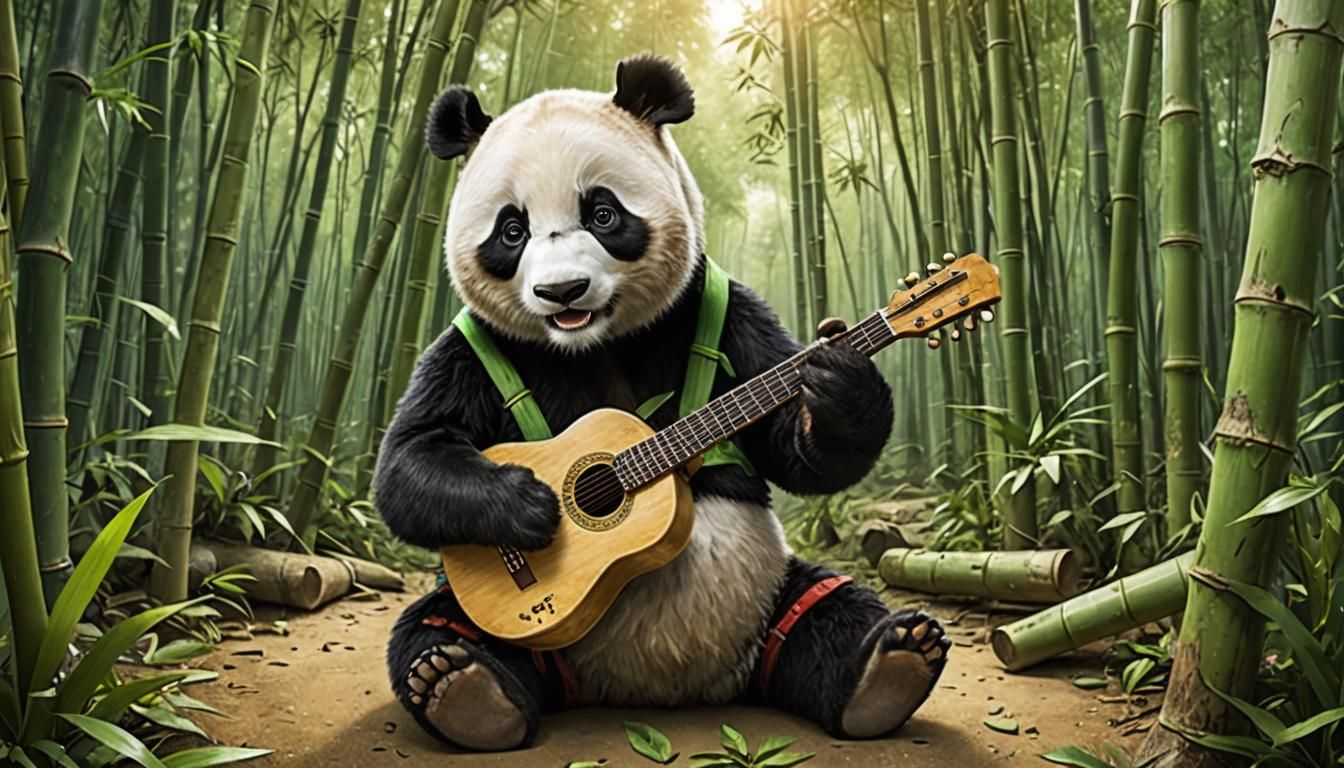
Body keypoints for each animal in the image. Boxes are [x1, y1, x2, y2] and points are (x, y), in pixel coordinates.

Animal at [375, 54, 950, 752]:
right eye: (512, 231)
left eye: (603, 215)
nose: (562, 291)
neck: (592, 342)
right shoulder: (470, 344)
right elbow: (410, 458)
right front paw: (525, 505)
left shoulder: (729, 309)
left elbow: (793, 452)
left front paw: (844, 375)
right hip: (483, 609)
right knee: (432, 628)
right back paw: (461, 687)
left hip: (772, 593)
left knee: (831, 611)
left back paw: (889, 666)